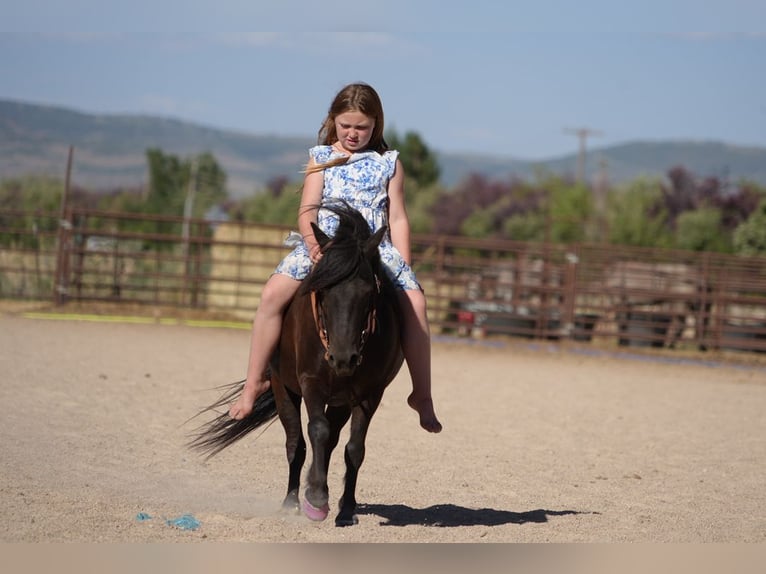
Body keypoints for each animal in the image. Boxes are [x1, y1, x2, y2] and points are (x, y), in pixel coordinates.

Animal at [188, 202, 405, 527]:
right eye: (323, 292)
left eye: (369, 292)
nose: (344, 358)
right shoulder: (309, 381)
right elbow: (316, 430)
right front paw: (316, 496)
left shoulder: (369, 393)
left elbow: (354, 448)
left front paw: (346, 509)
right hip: (283, 388)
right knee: (296, 442)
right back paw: (292, 501)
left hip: (340, 399)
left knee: (330, 441)